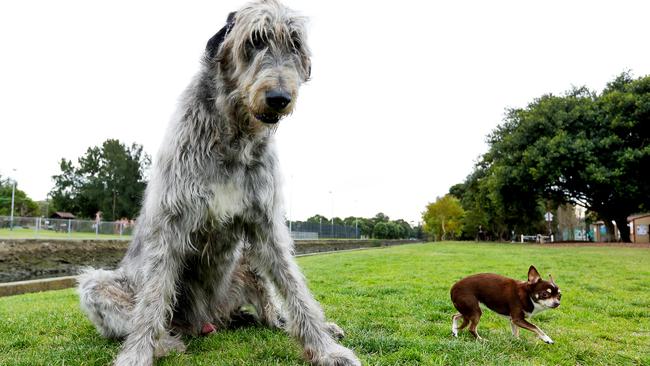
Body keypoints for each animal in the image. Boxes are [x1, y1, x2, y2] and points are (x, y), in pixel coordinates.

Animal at [77, 1, 360, 364]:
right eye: (254, 41)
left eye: (295, 45)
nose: (279, 97)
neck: (234, 136)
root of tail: (209, 321)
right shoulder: (170, 220)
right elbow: (152, 298)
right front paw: (137, 354)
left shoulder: (265, 223)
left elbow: (294, 286)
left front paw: (325, 348)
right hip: (102, 285)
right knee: (117, 298)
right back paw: (166, 342)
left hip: (245, 265)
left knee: (271, 313)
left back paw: (310, 325)